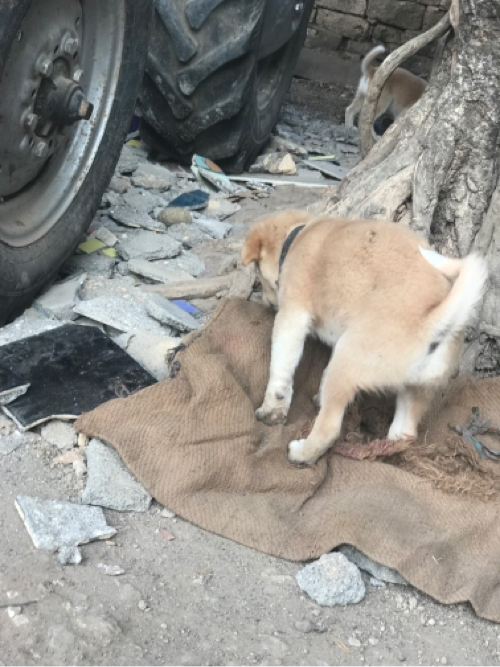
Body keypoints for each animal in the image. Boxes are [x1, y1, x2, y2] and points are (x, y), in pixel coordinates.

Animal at [242, 211, 488, 468]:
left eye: (259, 276)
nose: (267, 304)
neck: (298, 235)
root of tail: (433, 317)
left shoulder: (292, 317)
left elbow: (280, 372)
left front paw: (271, 410)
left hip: (345, 363)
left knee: (328, 428)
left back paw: (301, 454)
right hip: (417, 387)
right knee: (405, 433)